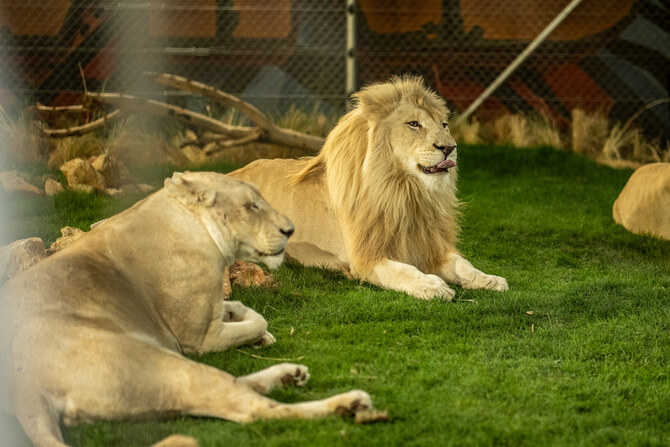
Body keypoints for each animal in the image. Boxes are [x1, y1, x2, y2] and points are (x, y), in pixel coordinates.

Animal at [0, 172, 372, 447]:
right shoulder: (201, 338)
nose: (290, 230)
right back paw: (349, 403)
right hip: (159, 364)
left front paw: (250, 326)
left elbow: (238, 309)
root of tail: (23, 390)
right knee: (255, 409)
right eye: (251, 206)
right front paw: (257, 331)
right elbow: (257, 318)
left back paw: (289, 374)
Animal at [231, 77, 510, 300]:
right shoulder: (366, 259)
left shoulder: (430, 247)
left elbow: (463, 264)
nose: (449, 148)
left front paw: (489, 279)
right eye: (413, 124)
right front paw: (433, 285)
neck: (405, 193)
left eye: (443, 125)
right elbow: (404, 270)